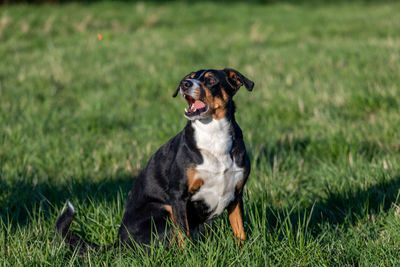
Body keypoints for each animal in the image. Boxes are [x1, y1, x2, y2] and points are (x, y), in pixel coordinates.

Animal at [55, 68, 255, 252]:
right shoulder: (178, 196)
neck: (214, 137)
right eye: (189, 78)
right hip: (163, 212)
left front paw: (243, 252)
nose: (184, 84)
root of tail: (119, 242)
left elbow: (240, 231)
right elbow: (184, 235)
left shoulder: (236, 194)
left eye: (211, 80)